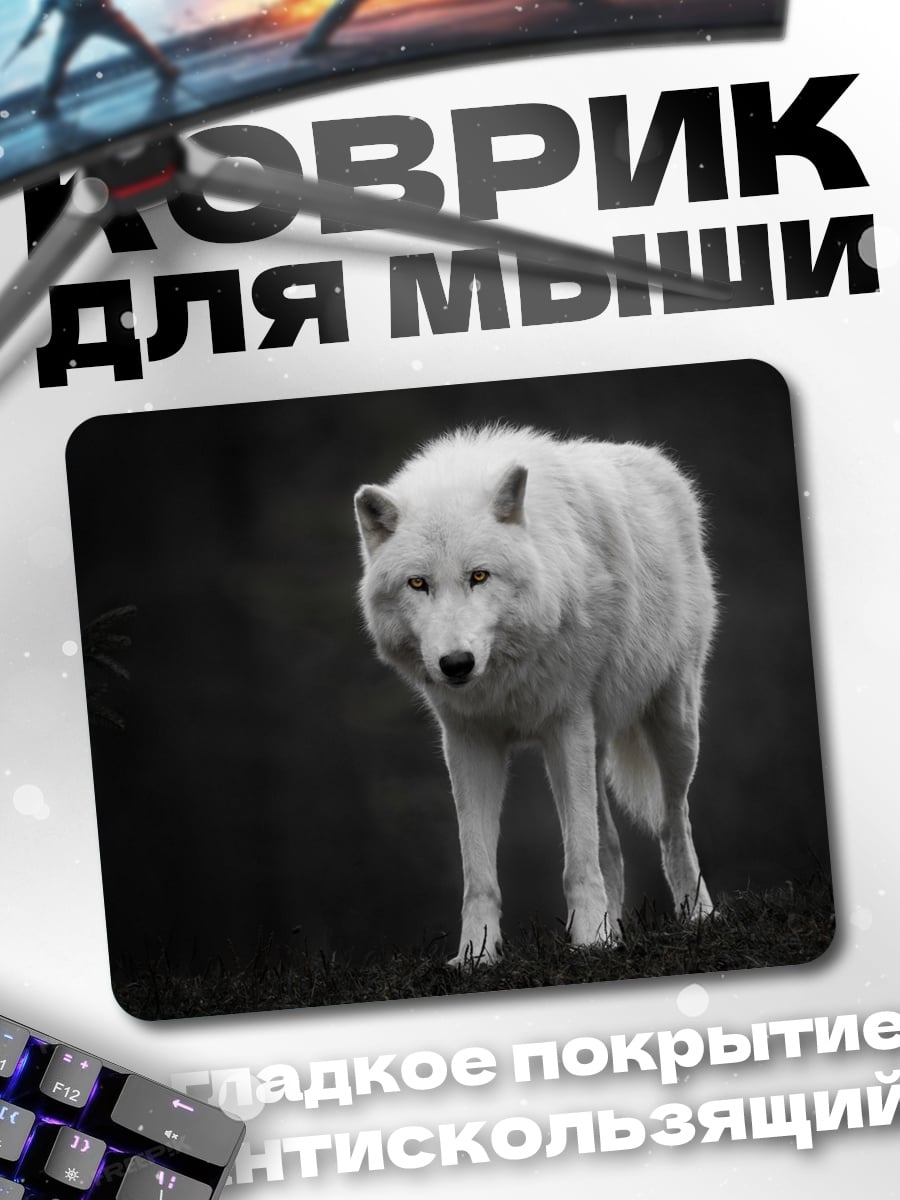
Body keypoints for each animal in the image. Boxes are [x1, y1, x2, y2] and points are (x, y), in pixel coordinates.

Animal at [354, 425, 717, 965]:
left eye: (479, 576)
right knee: (612, 847)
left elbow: (578, 861)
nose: (456, 663)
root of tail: (660, 462)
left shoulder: (565, 724)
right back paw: (615, 929)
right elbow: (479, 872)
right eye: (418, 583)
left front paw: (589, 943)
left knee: (674, 825)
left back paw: (698, 917)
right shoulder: (468, 741)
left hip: (673, 725)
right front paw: (477, 956)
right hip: (595, 744)